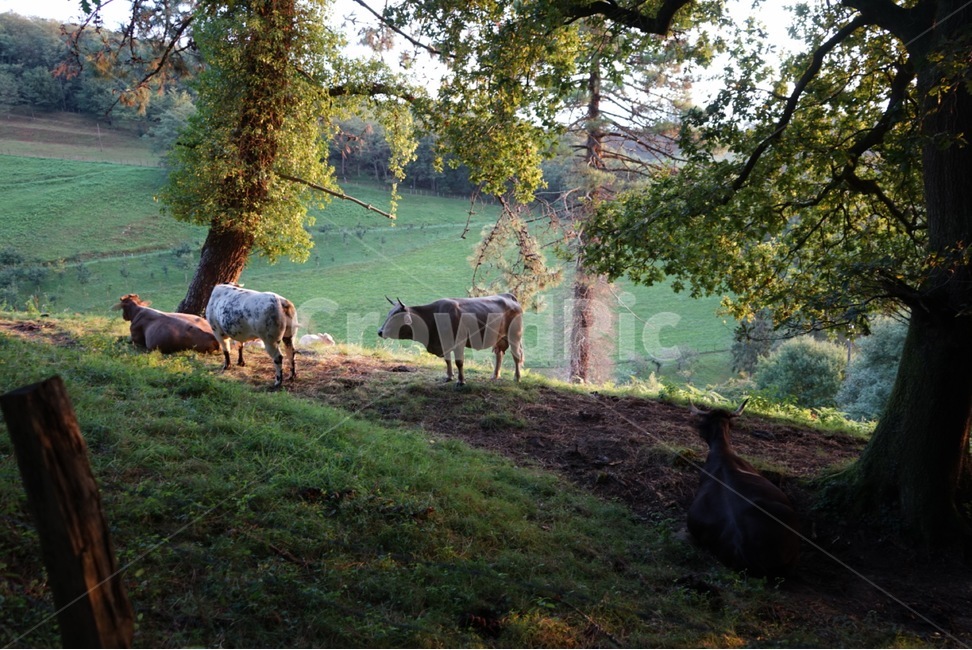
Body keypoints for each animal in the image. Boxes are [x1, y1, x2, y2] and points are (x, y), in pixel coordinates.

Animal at [377, 293, 524, 387]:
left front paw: (461, 381)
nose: (380, 331)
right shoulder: (444, 342)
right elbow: (448, 360)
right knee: (499, 355)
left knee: (516, 356)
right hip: (499, 338)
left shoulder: (459, 342)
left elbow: (459, 362)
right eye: (389, 314)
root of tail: (507, 295)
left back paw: (517, 378)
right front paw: (449, 376)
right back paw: (495, 375)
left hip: (514, 336)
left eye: (396, 317)